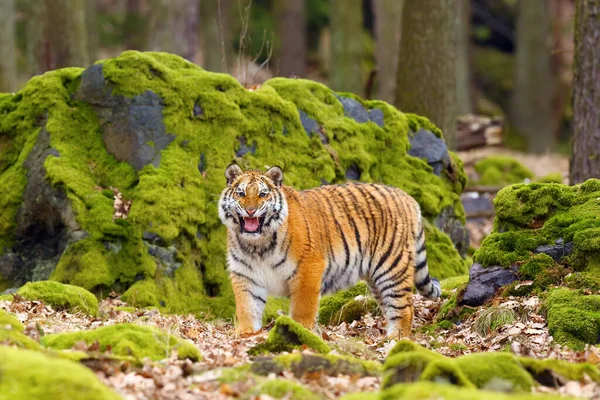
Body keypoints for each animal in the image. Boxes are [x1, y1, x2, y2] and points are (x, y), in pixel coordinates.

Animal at [217, 164, 440, 340]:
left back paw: (396, 338)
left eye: (263, 194)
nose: (251, 210)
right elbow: (247, 307)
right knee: (390, 306)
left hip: (392, 267)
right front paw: (246, 334)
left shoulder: (308, 269)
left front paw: (301, 332)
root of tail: (407, 197)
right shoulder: (245, 275)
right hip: (376, 278)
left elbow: (303, 309)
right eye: (241, 193)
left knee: (405, 306)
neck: (257, 245)